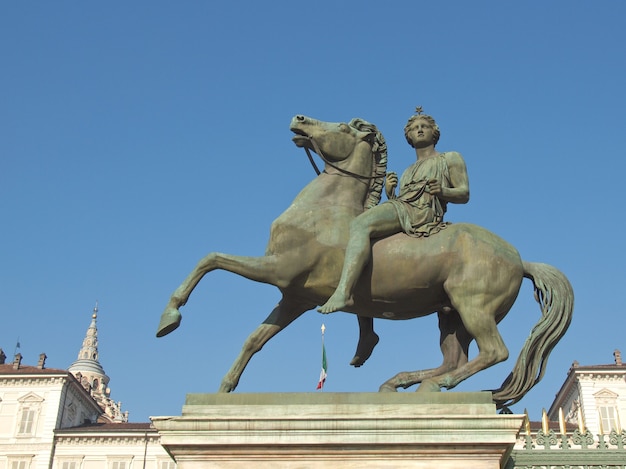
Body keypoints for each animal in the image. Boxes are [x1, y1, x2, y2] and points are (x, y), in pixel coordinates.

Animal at [156, 115, 572, 408]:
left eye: (342, 126)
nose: (299, 118)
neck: (322, 211)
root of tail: (520, 259)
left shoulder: (278, 270)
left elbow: (211, 258)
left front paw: (170, 317)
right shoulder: (294, 298)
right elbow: (254, 339)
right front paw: (224, 387)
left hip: (473, 305)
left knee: (493, 352)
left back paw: (430, 385)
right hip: (450, 314)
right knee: (455, 357)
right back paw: (402, 382)